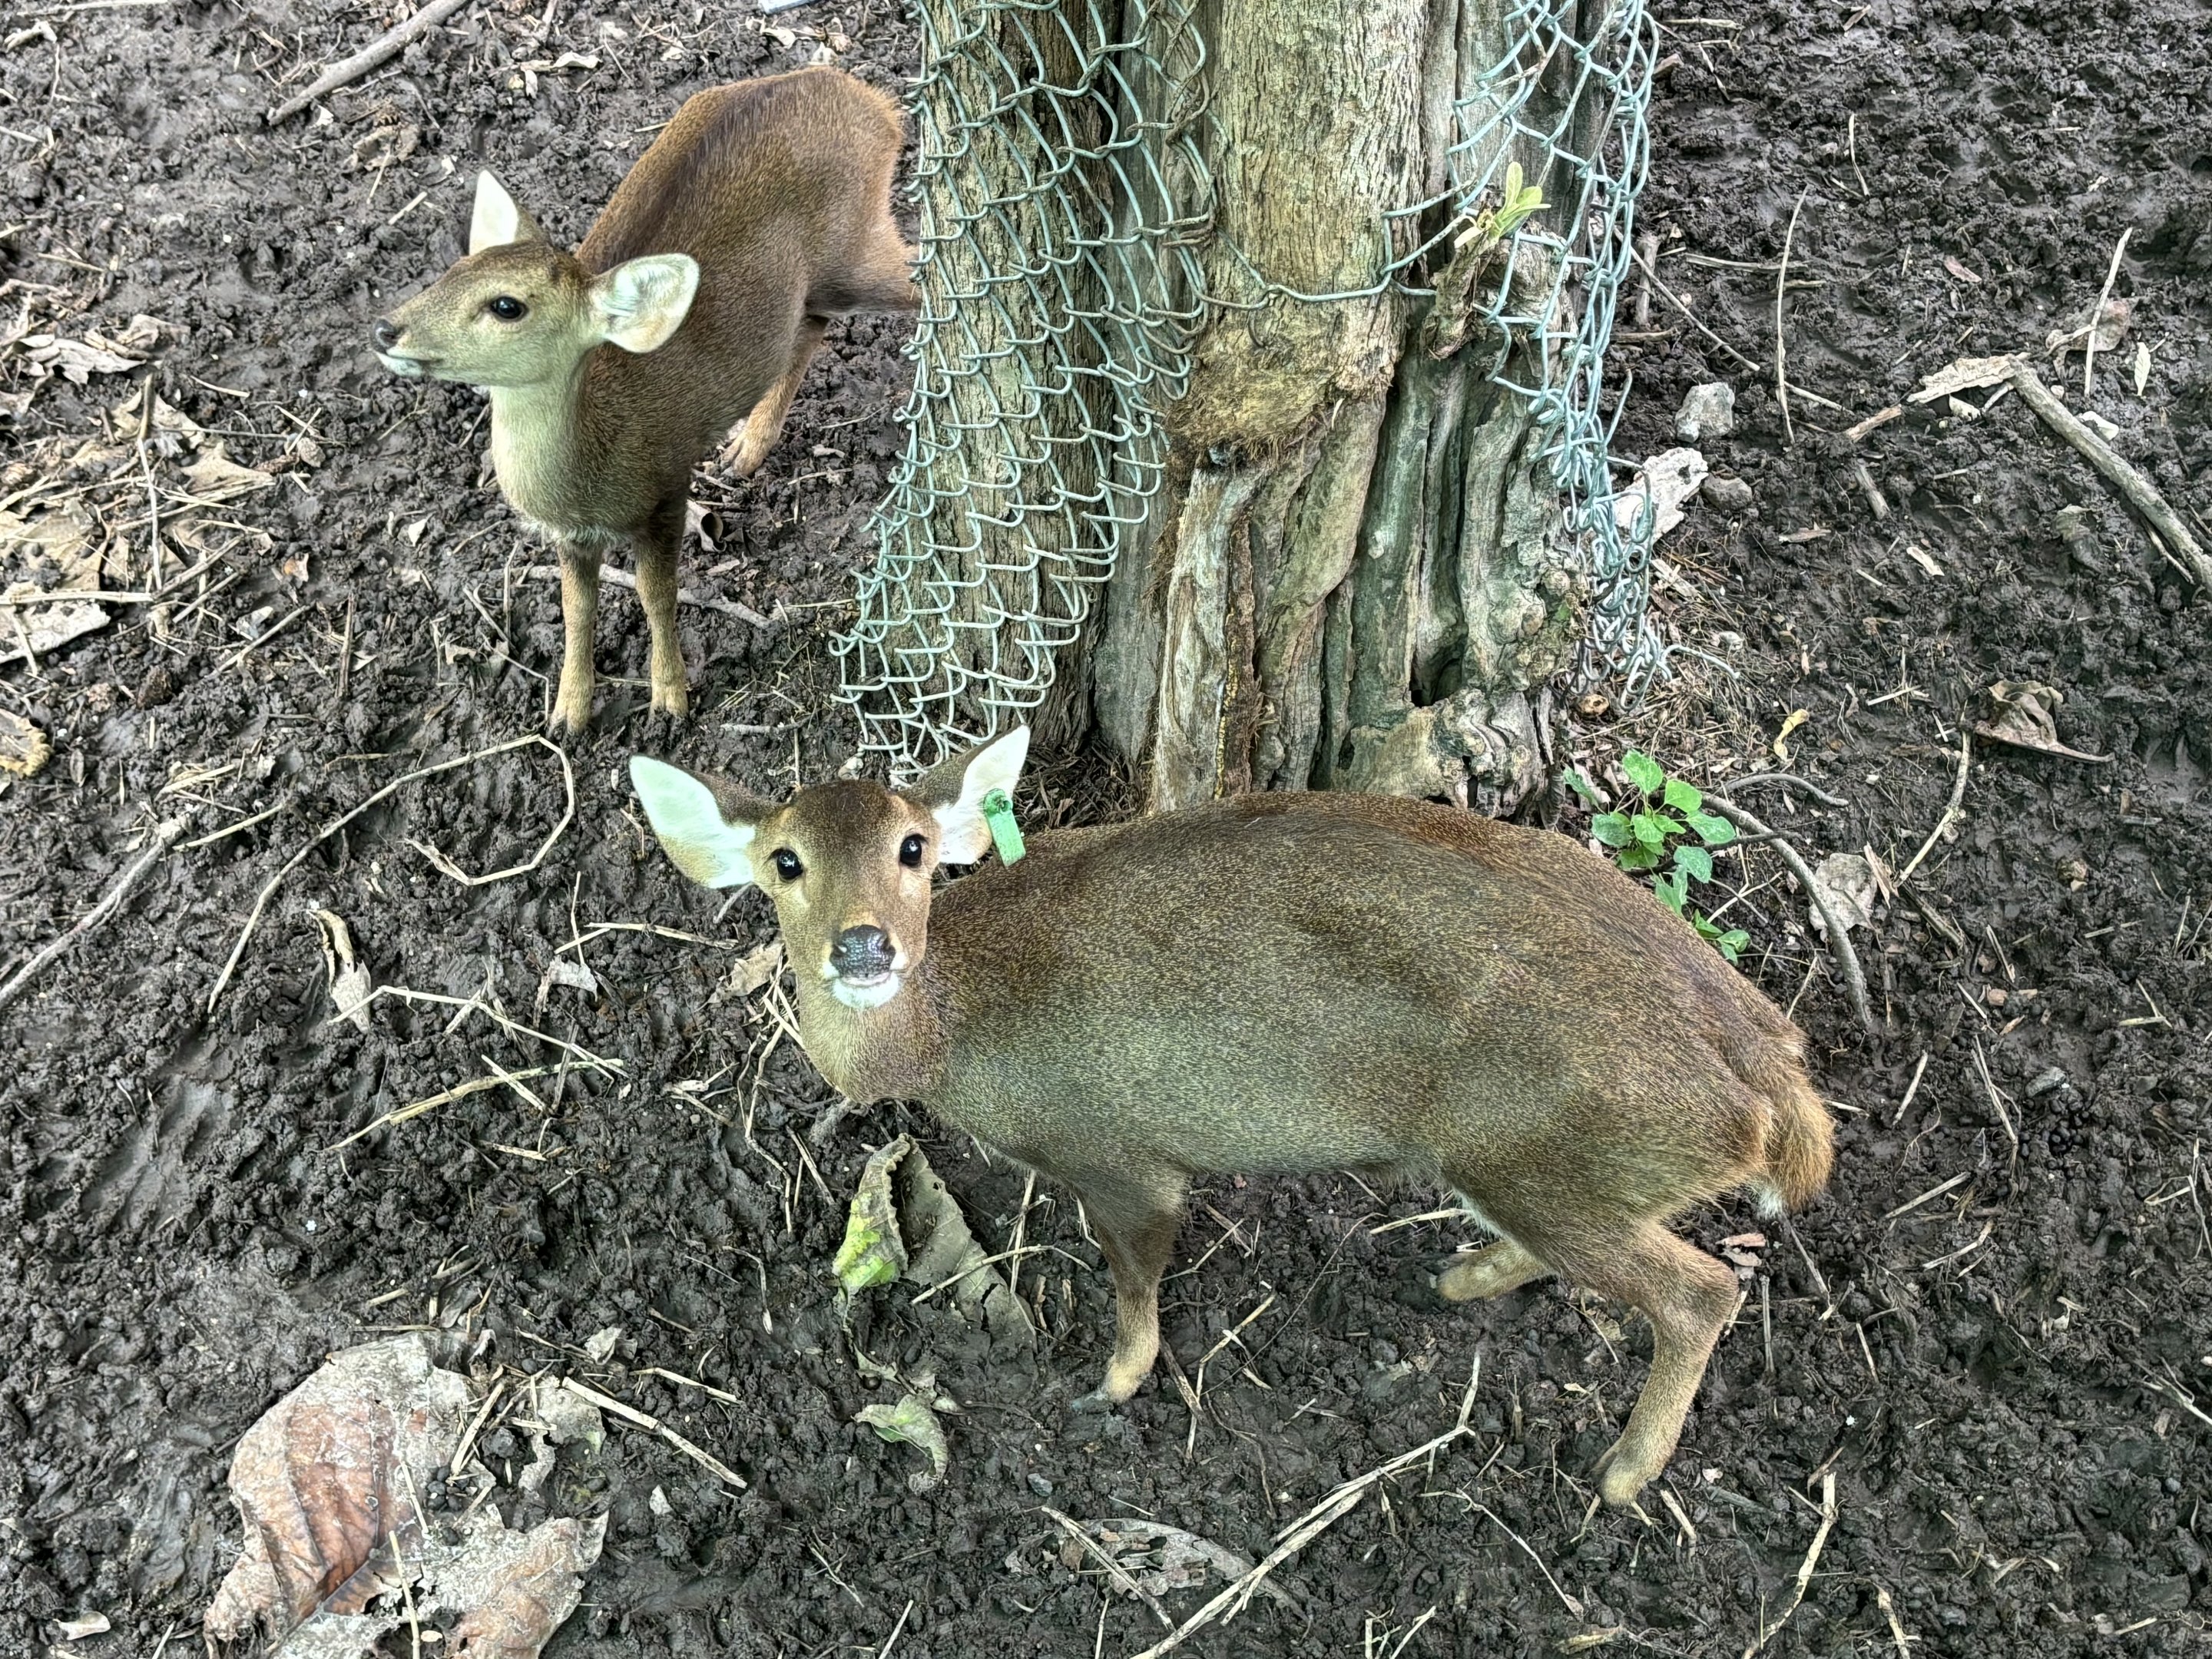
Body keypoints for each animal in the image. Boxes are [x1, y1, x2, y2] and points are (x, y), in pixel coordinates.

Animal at [370, 68, 917, 734]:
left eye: (506, 305)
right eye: (451, 272)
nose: (387, 330)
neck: (596, 466)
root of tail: (877, 105)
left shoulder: (666, 486)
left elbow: (657, 594)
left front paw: (671, 703)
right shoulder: (570, 535)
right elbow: (576, 609)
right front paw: (568, 713)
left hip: (861, 246)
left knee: (923, 277)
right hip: (816, 281)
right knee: (812, 323)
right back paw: (745, 450)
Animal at [627, 728, 1835, 1505]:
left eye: (914, 849)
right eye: (785, 861)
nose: (865, 945)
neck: (948, 1033)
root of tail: (1773, 1088)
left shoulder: (1119, 1154)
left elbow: (1135, 1281)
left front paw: (1112, 1385)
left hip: (1548, 1153)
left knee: (1703, 1289)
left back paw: (1624, 1474)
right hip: (1536, 1169)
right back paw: (1456, 1280)